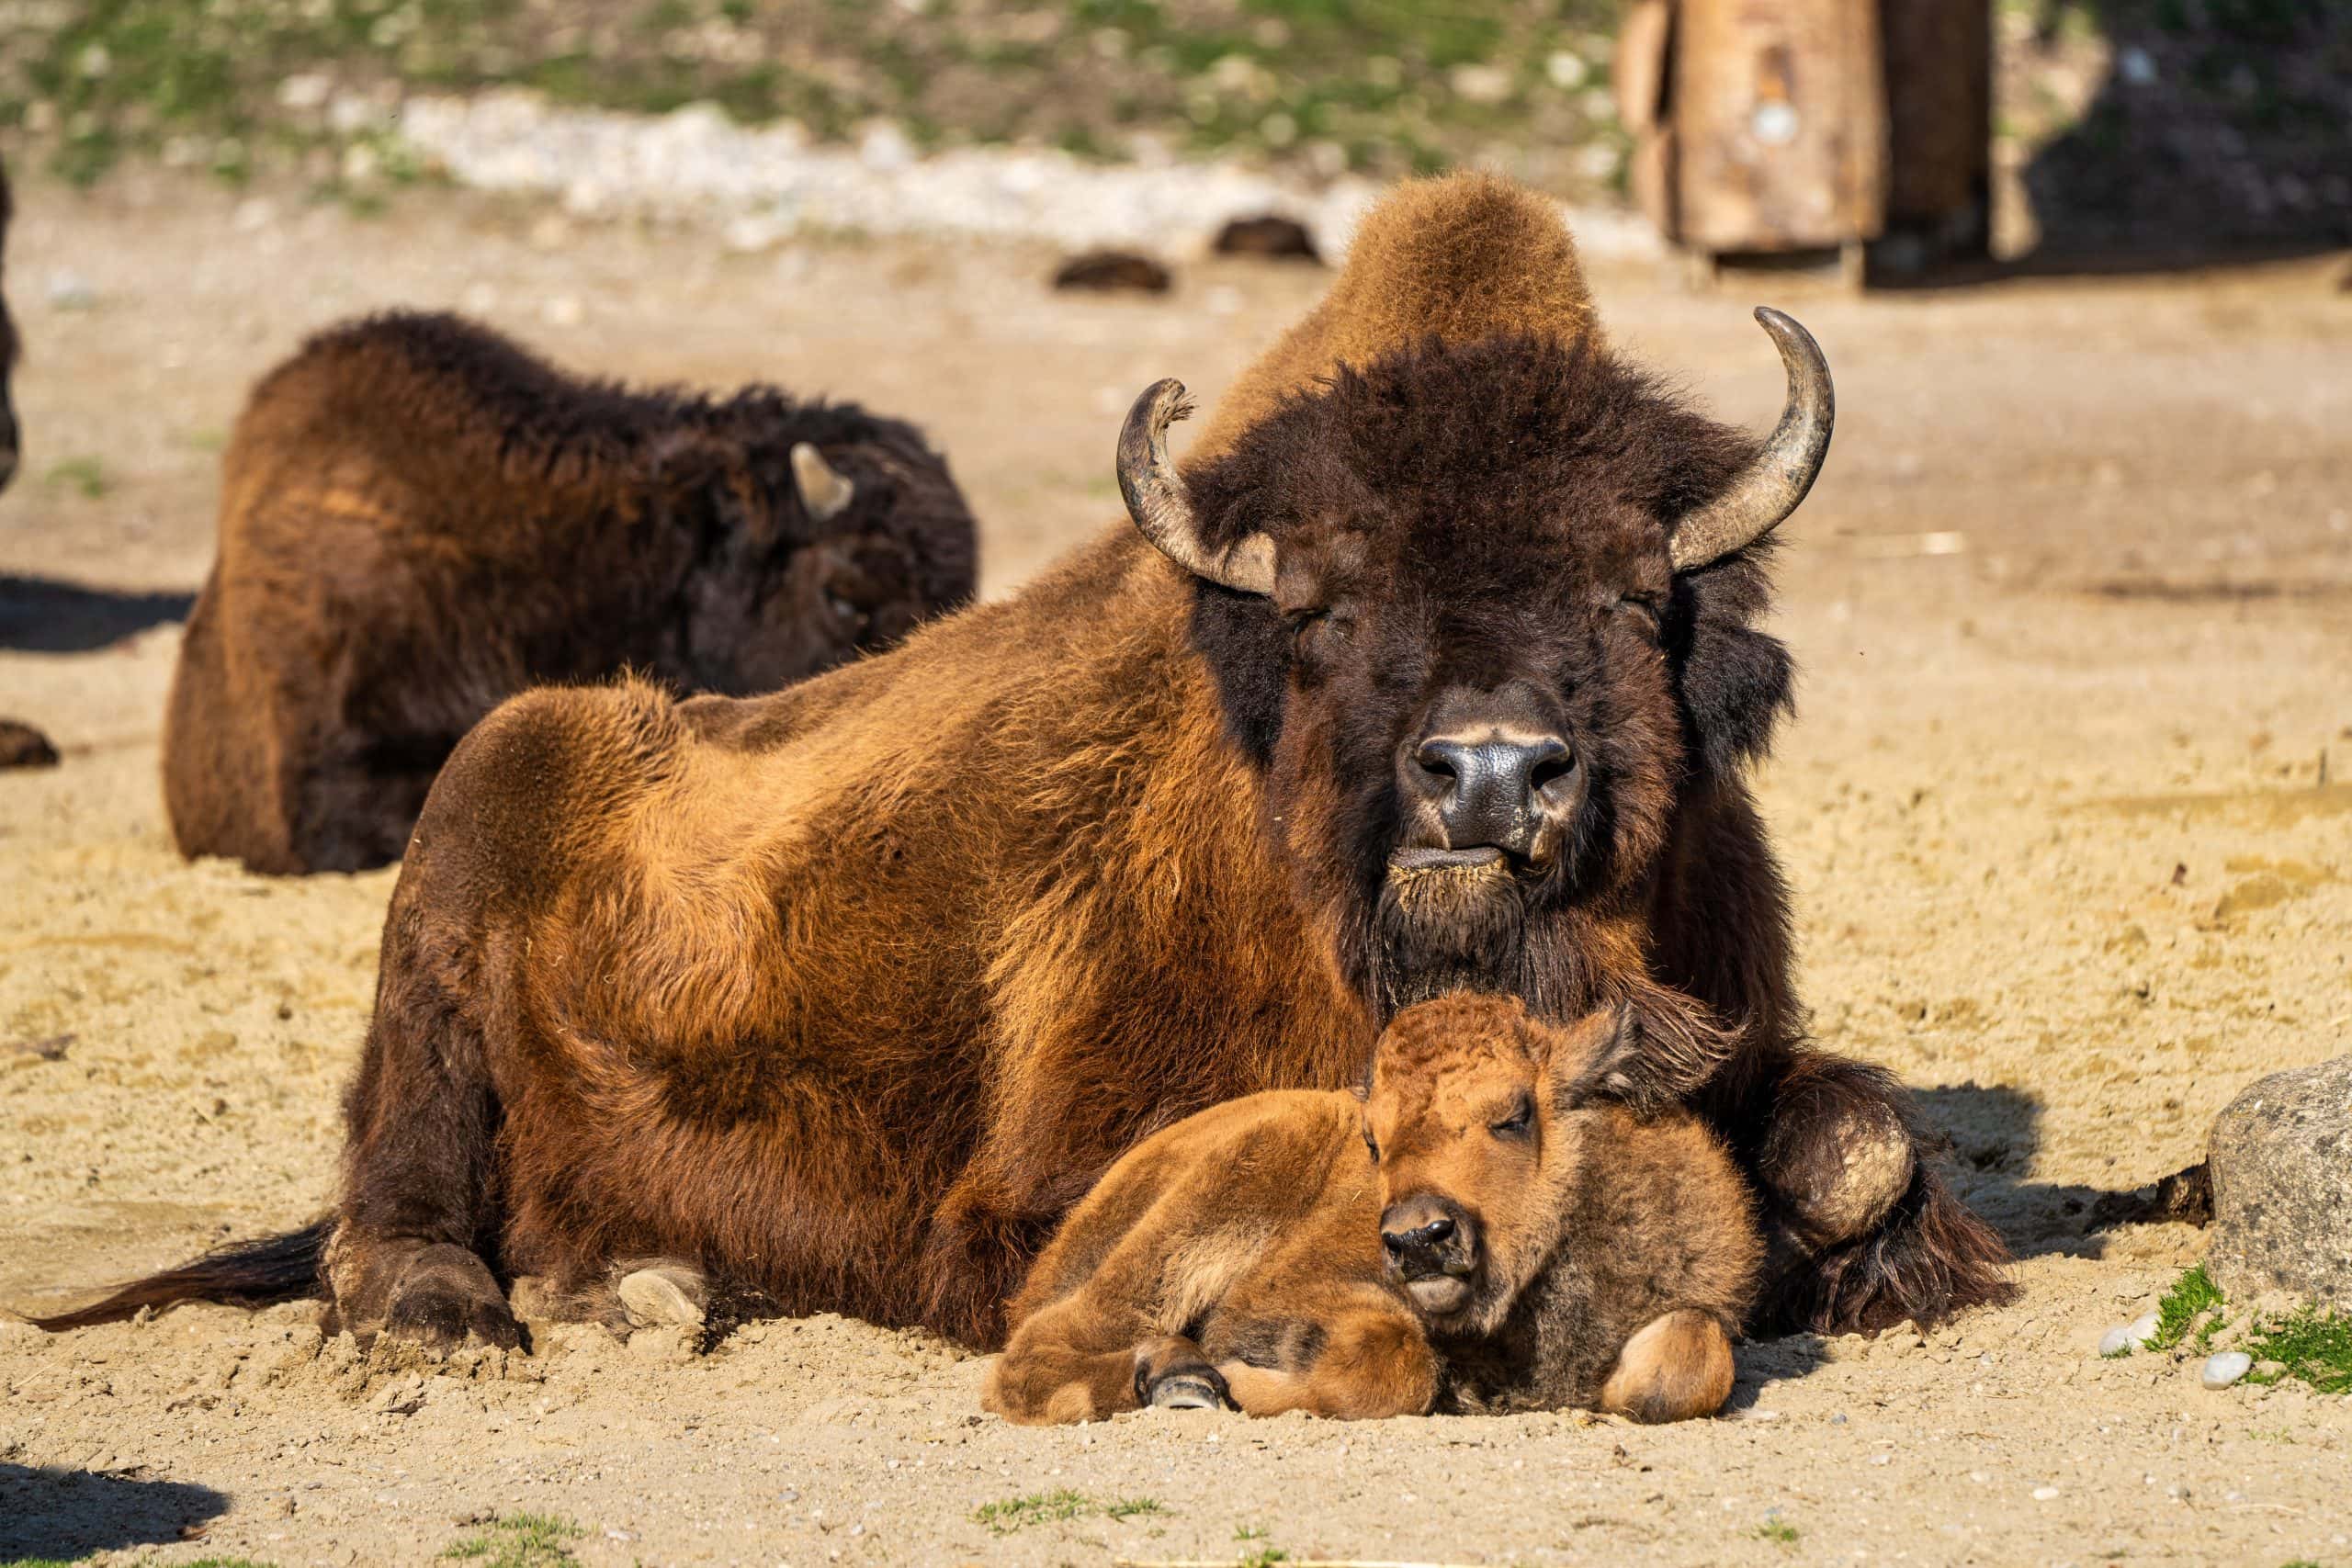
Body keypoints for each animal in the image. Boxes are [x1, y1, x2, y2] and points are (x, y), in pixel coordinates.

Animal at [978, 1001, 1769, 1429]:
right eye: (1373, 1140)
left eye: (1514, 1115)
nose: (1419, 1237)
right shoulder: (1275, 1296)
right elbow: (1391, 1357)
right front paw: (1240, 1379)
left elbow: (1686, 1362)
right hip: (1198, 1216)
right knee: (1041, 1344)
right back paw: (1179, 1379)